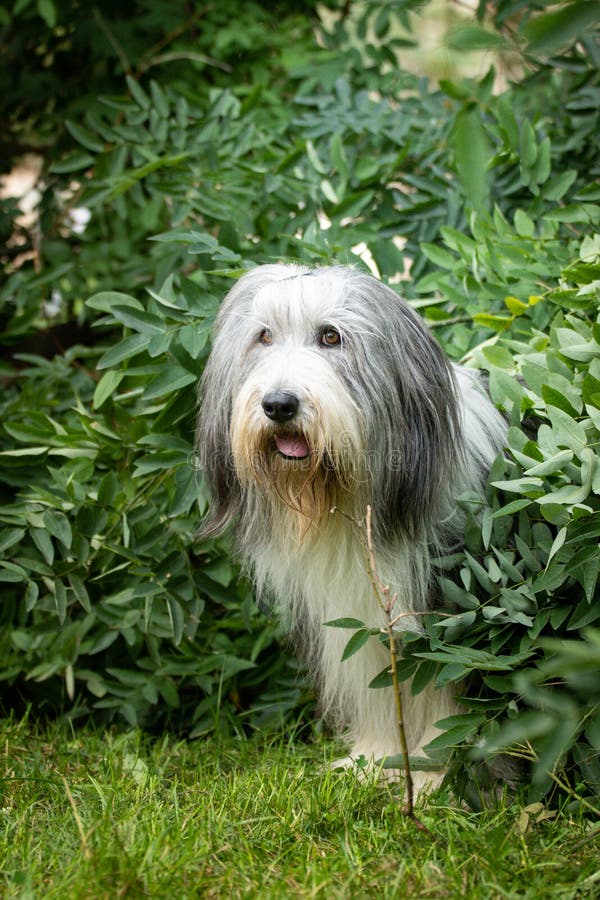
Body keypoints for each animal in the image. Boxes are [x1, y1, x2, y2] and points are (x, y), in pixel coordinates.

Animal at [198, 262, 506, 796]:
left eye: (330, 336)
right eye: (263, 336)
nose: (279, 404)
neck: (346, 498)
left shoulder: (454, 616)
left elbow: (448, 699)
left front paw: (434, 777)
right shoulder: (359, 615)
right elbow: (382, 691)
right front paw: (376, 761)